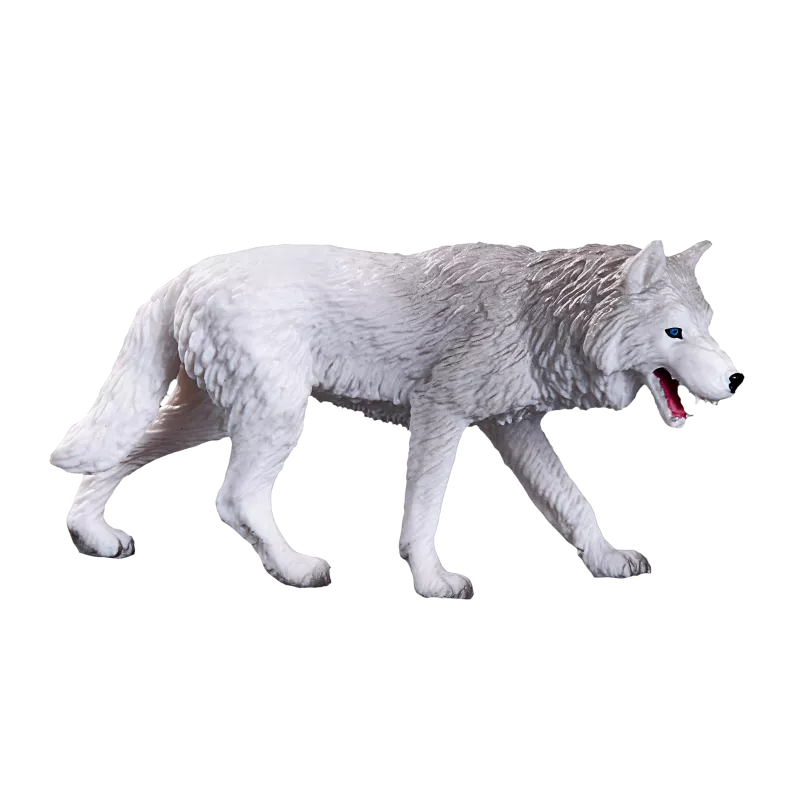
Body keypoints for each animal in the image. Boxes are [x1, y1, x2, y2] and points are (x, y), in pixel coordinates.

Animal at [51, 240, 743, 599]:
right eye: (674, 333)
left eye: (709, 328)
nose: (740, 380)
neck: (545, 312)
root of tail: (185, 272)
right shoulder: (441, 411)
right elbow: (424, 509)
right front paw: (432, 581)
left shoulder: (513, 426)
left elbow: (573, 499)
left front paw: (606, 561)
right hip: (273, 419)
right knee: (236, 496)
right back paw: (299, 570)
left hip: (212, 417)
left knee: (118, 456)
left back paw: (96, 537)